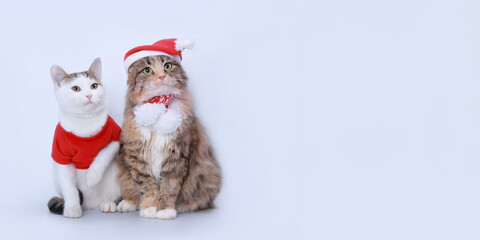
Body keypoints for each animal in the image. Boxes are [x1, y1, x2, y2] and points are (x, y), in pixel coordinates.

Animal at [47, 57, 122, 218]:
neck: (85, 123)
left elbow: (104, 152)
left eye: (94, 86)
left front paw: (92, 177)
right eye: (75, 88)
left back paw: (110, 203)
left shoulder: (116, 137)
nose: (89, 95)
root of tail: (92, 205)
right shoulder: (61, 154)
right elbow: (69, 186)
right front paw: (72, 208)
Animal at [116, 54, 221, 219]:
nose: (161, 76)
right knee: (130, 189)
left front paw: (165, 210)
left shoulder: (176, 158)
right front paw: (149, 208)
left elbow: (169, 188)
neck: (158, 106)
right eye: (147, 70)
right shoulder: (138, 158)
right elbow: (147, 187)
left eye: (167, 66)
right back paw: (128, 203)